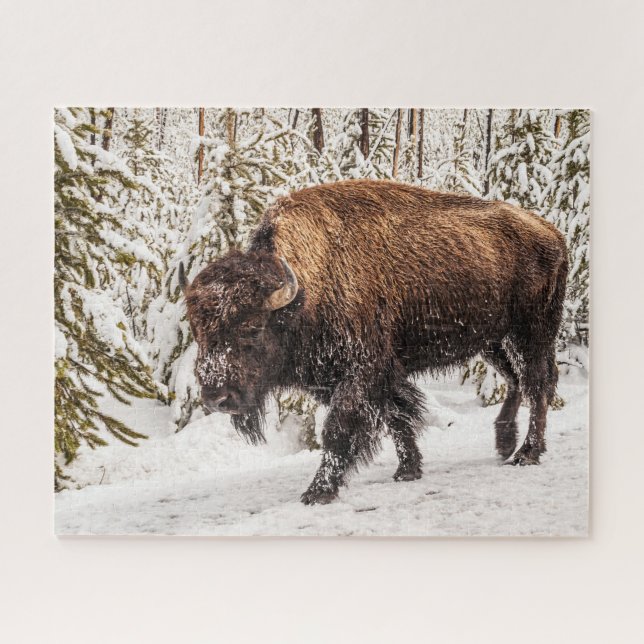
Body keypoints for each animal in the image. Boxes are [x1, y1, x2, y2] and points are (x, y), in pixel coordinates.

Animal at [180, 180, 568, 505]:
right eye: (197, 331)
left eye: (252, 327)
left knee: (537, 384)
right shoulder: (356, 378)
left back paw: (527, 453)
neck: (308, 289)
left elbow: (339, 429)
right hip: (493, 341)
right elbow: (396, 417)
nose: (217, 398)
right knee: (517, 381)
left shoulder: (361, 372)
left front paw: (318, 492)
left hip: (531, 334)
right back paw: (504, 444)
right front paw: (408, 470)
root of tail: (552, 232)